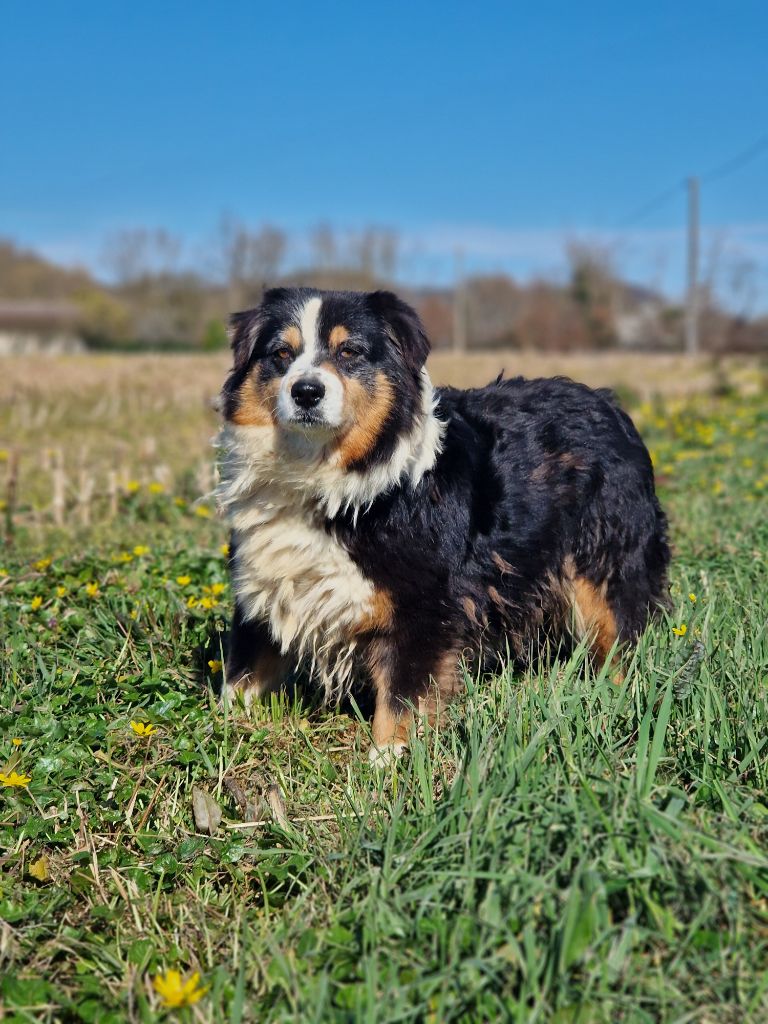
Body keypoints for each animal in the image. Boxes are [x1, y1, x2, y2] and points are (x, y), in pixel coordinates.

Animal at [217, 286, 671, 761]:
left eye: (349, 351)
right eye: (281, 353)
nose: (306, 391)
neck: (327, 479)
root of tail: (609, 403)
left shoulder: (425, 603)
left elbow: (403, 692)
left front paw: (388, 758)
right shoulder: (264, 582)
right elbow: (245, 669)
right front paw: (223, 726)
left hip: (604, 563)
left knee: (618, 635)